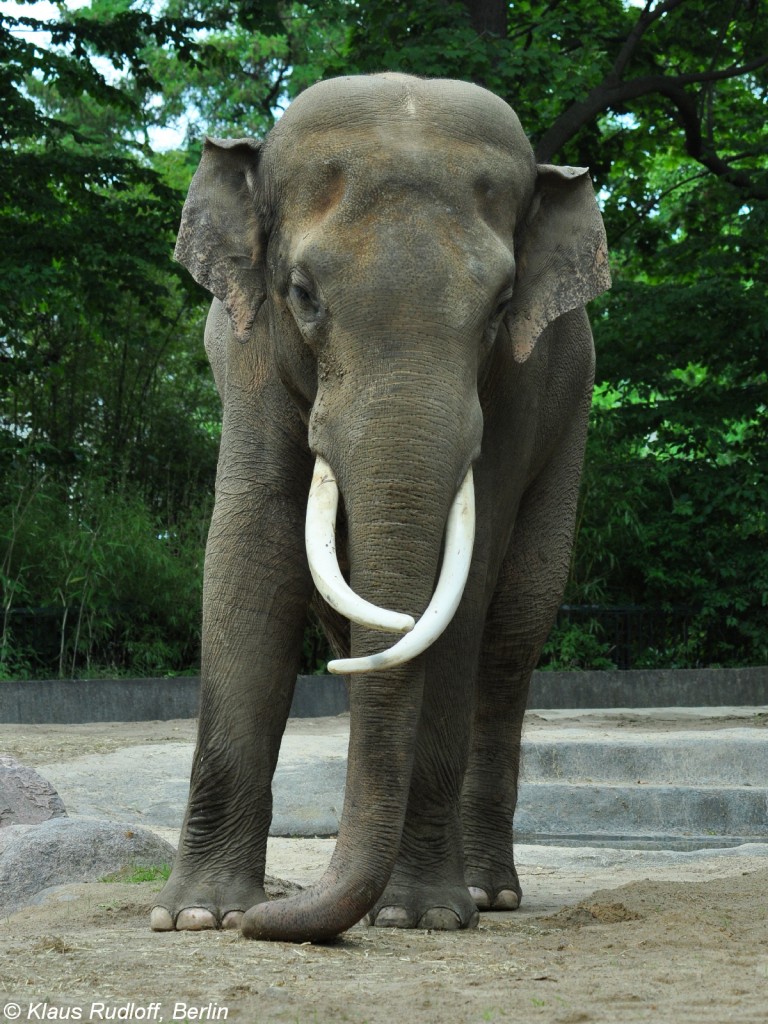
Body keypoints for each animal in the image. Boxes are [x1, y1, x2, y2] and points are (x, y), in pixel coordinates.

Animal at [150, 72, 610, 942]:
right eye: (302, 294)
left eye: (501, 304)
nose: (276, 912)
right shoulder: (248, 353)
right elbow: (251, 553)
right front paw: (200, 916)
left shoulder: (520, 391)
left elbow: (464, 590)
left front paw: (418, 914)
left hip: (571, 425)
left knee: (512, 634)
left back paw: (488, 894)